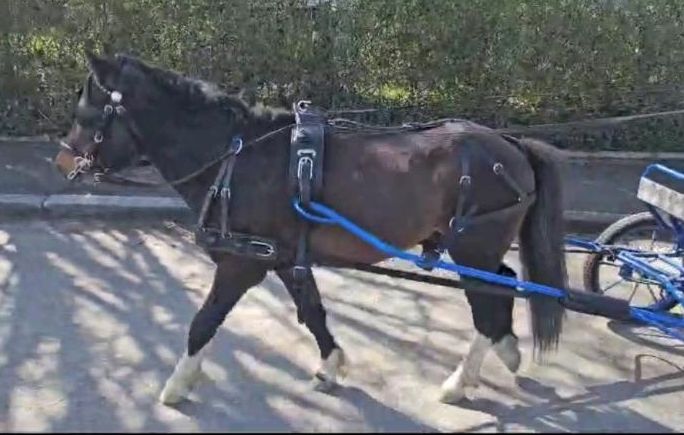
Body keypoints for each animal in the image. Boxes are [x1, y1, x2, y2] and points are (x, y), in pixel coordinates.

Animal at [53, 53, 568, 406]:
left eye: (85, 114)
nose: (62, 160)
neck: (237, 156)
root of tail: (509, 144)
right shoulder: (282, 258)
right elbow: (314, 311)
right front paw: (331, 365)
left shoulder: (241, 264)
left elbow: (205, 321)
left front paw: (177, 383)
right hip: (478, 247)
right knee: (502, 285)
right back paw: (505, 348)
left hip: (472, 246)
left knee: (486, 302)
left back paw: (460, 381)